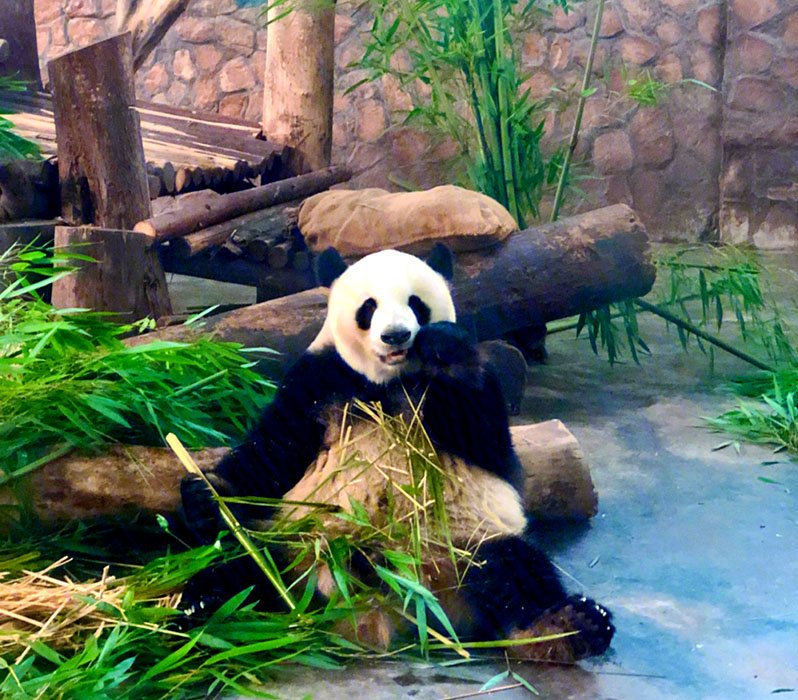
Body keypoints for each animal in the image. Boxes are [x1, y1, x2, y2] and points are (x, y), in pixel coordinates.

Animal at [180, 244, 614, 663]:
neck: (385, 383)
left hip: (465, 545)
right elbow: (270, 454)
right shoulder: (318, 380)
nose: (396, 336)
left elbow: (488, 441)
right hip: (302, 545)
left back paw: (570, 626)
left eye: (416, 304)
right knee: (251, 563)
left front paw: (443, 345)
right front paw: (205, 493)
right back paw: (204, 606)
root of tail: (397, 604)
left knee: (516, 568)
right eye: (368, 307)